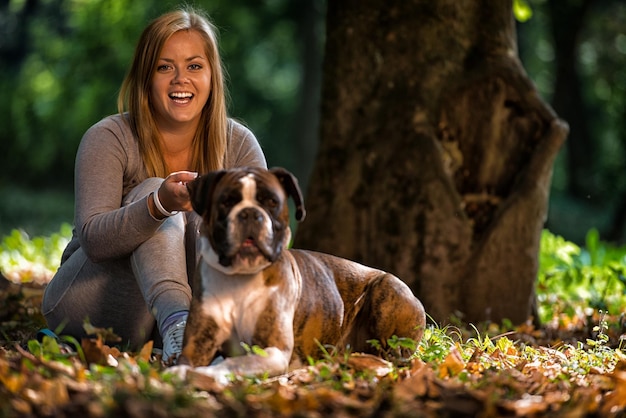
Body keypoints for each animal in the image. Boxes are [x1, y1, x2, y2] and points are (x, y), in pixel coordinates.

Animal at [171, 167, 424, 386]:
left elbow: (235, 363)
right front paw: (177, 373)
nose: (250, 213)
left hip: (388, 288)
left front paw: (209, 374)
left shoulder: (273, 351)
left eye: (272, 202)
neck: (240, 278)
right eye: (227, 202)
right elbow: (184, 362)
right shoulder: (196, 345)